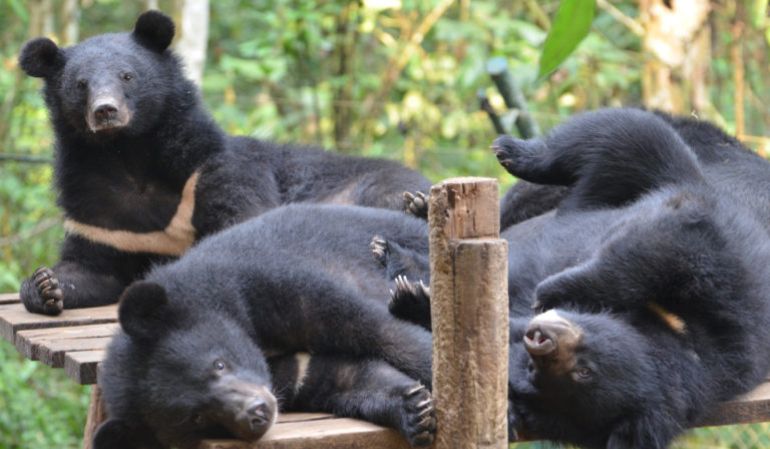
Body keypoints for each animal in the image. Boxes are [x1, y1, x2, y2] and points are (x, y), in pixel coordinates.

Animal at [17, 10, 431, 315]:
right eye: (80, 85)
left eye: (127, 76)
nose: (106, 111)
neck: (128, 153)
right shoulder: (98, 211)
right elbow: (91, 268)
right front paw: (44, 285)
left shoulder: (211, 169)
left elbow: (242, 222)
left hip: (369, 185)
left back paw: (418, 208)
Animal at [94, 204, 436, 449]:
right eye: (197, 418)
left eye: (219, 364)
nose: (257, 413)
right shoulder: (290, 372)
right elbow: (343, 376)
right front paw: (414, 411)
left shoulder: (272, 281)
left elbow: (378, 330)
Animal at [382, 108, 770, 448]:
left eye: (582, 373)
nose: (541, 339)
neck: (675, 332)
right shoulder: (729, 283)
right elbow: (671, 240)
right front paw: (552, 290)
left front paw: (414, 299)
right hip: (686, 155)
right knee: (626, 137)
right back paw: (501, 157)